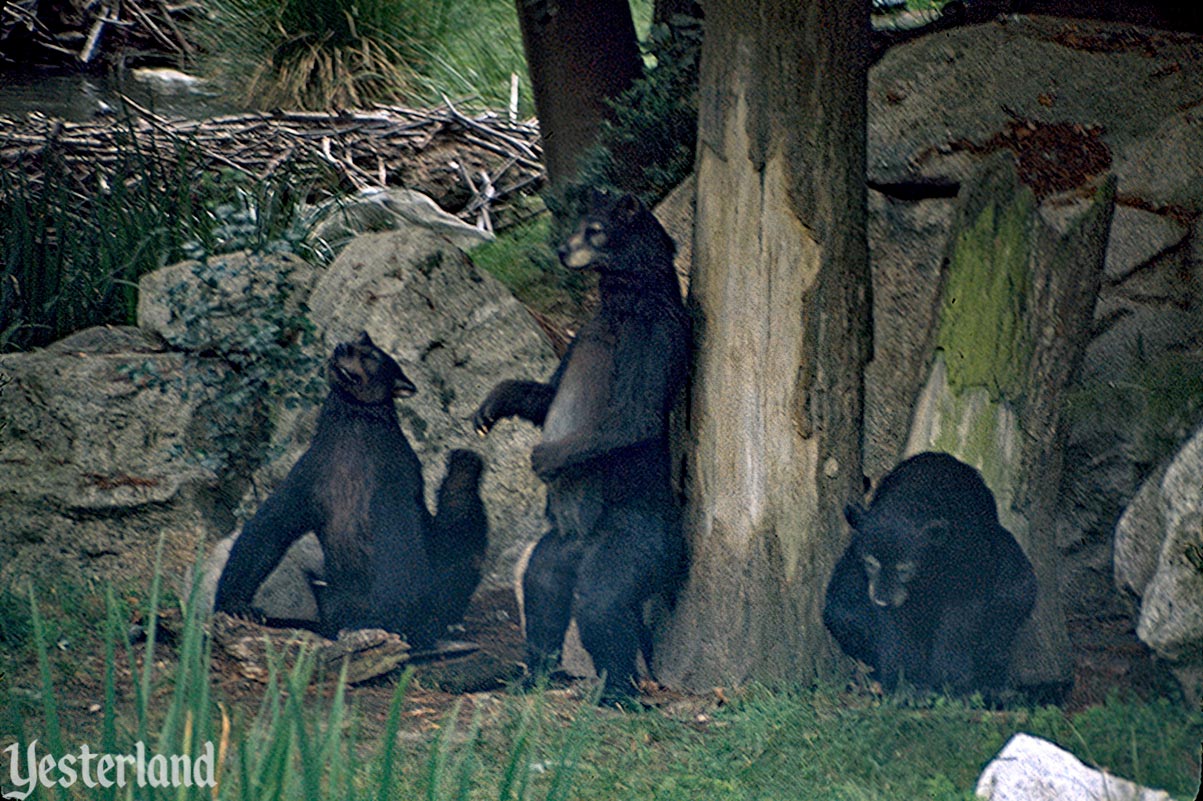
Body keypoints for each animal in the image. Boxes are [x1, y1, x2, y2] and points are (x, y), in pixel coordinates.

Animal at [214, 327, 486, 644]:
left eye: (372, 356)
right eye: (357, 340)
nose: (342, 345)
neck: (351, 437)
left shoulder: (393, 490)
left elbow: (399, 553)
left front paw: (381, 623)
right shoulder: (306, 481)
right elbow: (265, 531)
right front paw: (237, 605)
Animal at [471, 188, 692, 697]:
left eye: (595, 230)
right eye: (577, 224)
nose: (561, 250)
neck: (622, 299)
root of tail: (582, 542)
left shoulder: (650, 332)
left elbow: (634, 416)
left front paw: (546, 456)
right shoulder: (582, 338)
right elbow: (550, 393)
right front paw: (493, 403)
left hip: (632, 532)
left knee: (602, 600)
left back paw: (619, 690)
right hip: (557, 545)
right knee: (542, 593)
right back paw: (533, 673)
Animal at [822, 452, 1039, 697]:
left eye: (905, 568)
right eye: (870, 562)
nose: (882, 599)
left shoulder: (966, 561)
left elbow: (960, 619)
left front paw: (950, 681)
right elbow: (889, 626)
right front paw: (903, 680)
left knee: (1010, 605)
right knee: (844, 612)